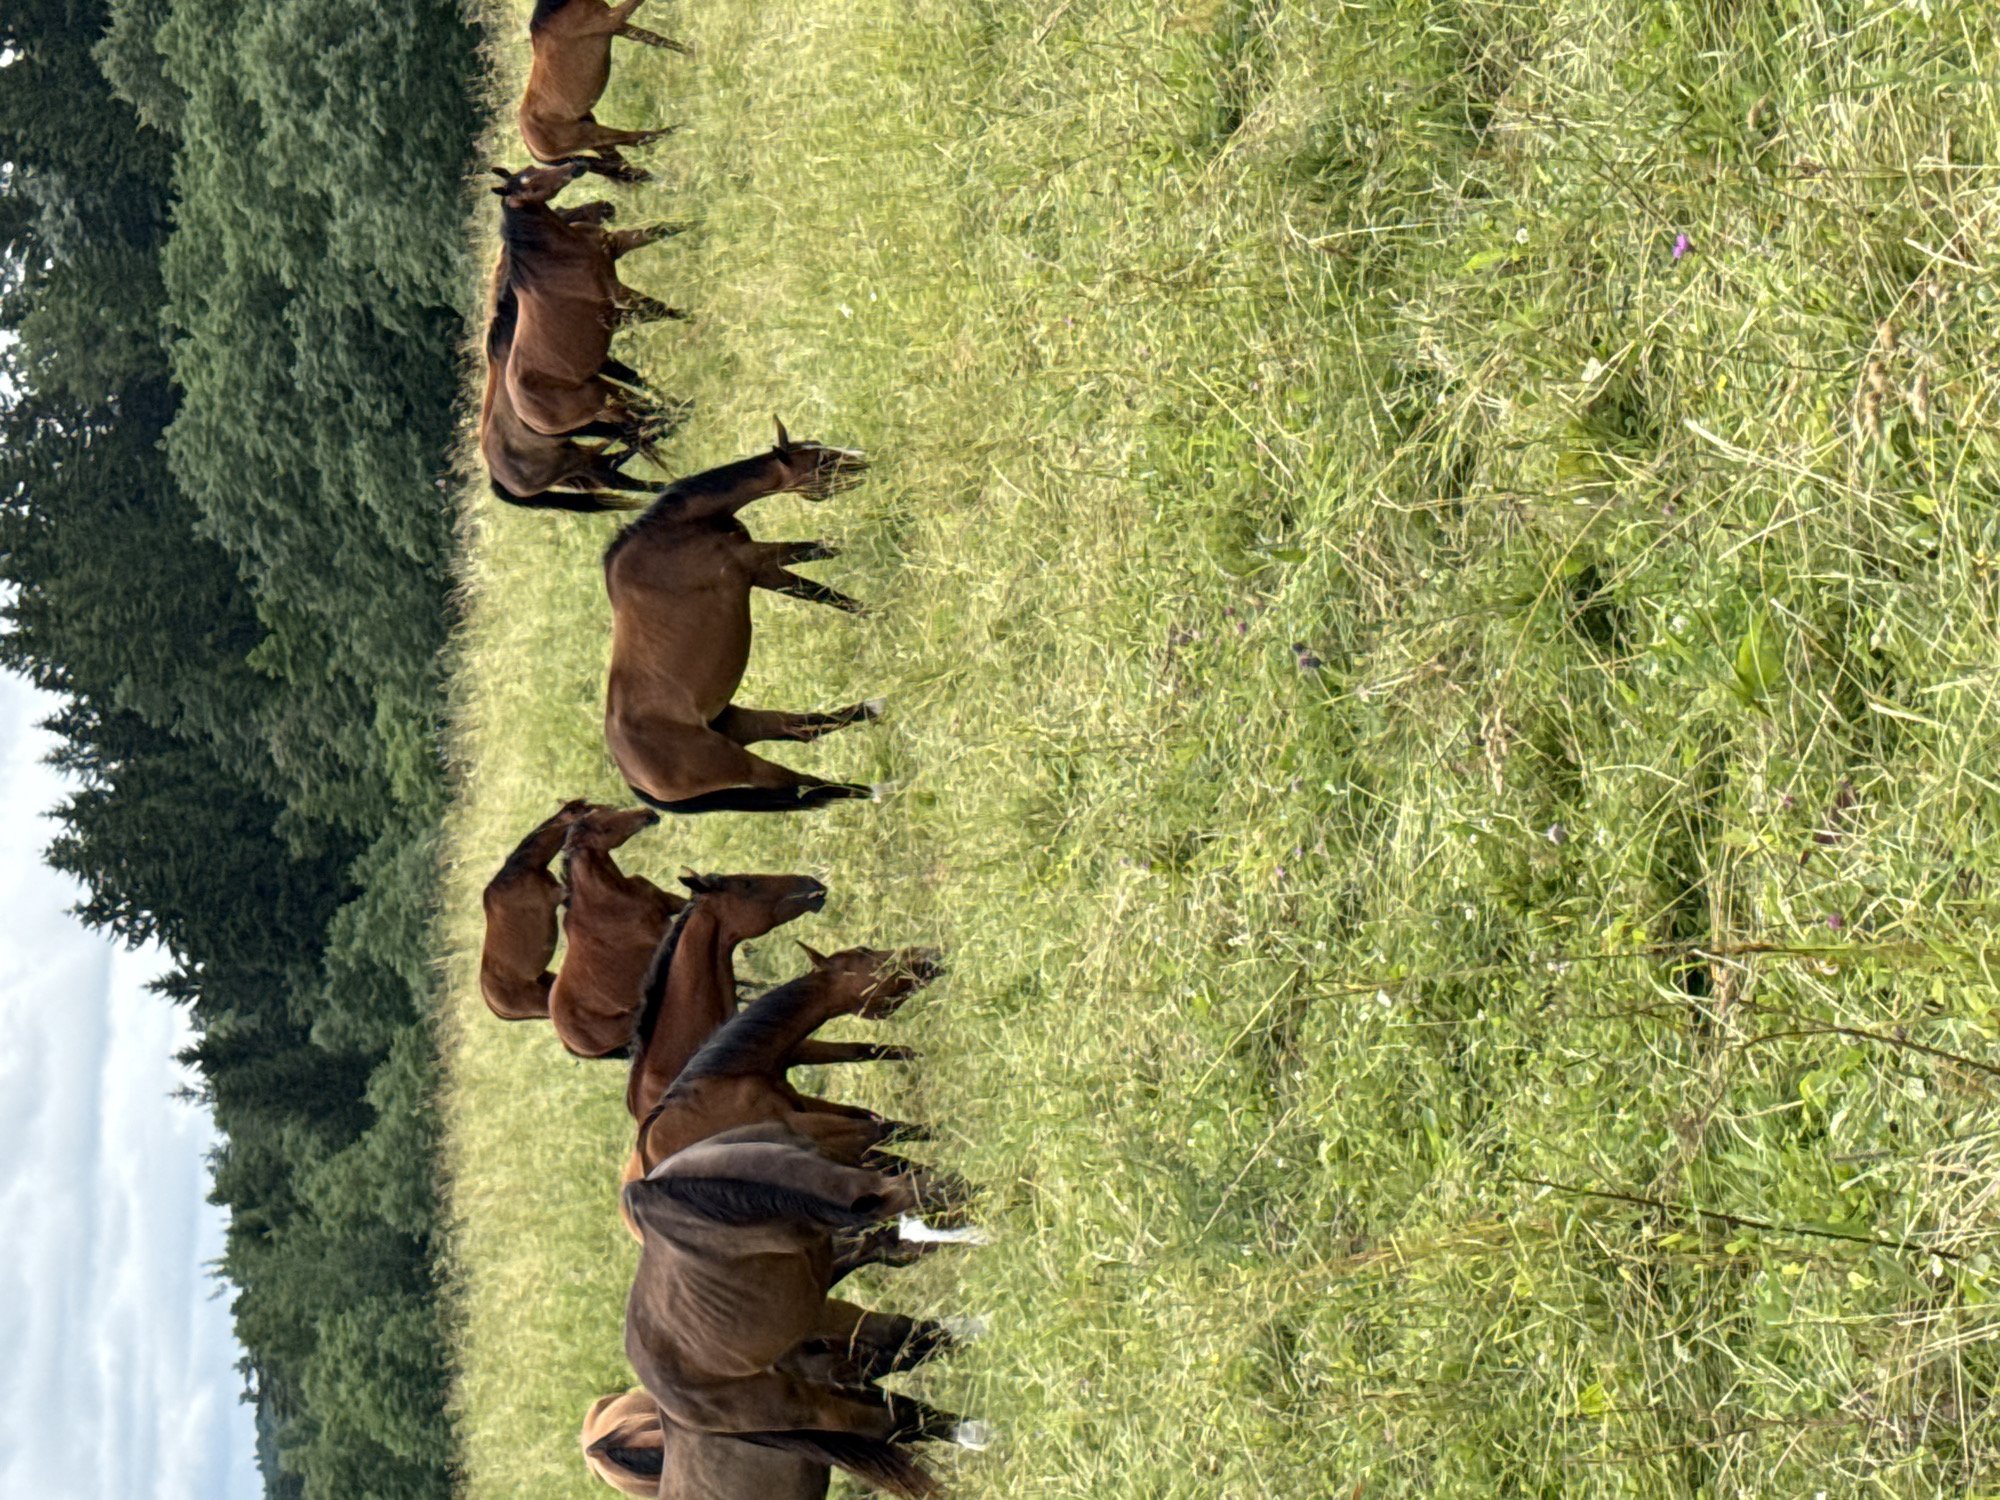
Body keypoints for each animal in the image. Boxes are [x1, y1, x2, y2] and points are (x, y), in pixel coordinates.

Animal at [479, 799, 599, 1020]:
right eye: (576, 811)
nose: (600, 809)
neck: (523, 869)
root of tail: (495, 1007)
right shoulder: (561, 893)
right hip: (543, 1000)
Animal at [494, 163, 689, 440]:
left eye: (532, 169)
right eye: (529, 184)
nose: (576, 166)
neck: (558, 258)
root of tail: (527, 418)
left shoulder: (616, 246)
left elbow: (662, 229)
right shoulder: (615, 297)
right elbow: (660, 310)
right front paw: (702, 320)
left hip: (601, 389)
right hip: (602, 402)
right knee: (636, 425)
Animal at [519, 0, 688, 180]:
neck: (554, 9)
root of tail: (532, 148)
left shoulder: (619, 27)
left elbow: (657, 39)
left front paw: (693, 53)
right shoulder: (611, 20)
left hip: (594, 135)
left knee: (624, 160)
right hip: (592, 133)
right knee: (637, 140)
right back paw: (680, 129)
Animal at [545, 805, 686, 1058]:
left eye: (610, 810)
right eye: (605, 829)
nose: (647, 814)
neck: (610, 899)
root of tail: (566, 1040)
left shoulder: (671, 904)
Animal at [603, 419, 887, 815]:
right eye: (822, 460)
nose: (866, 460)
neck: (678, 529)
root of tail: (633, 778)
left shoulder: (763, 566)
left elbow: (823, 567)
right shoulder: (759, 564)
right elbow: (822, 574)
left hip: (738, 722)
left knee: (799, 730)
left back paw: (873, 710)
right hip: (744, 765)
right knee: (806, 786)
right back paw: (876, 789)